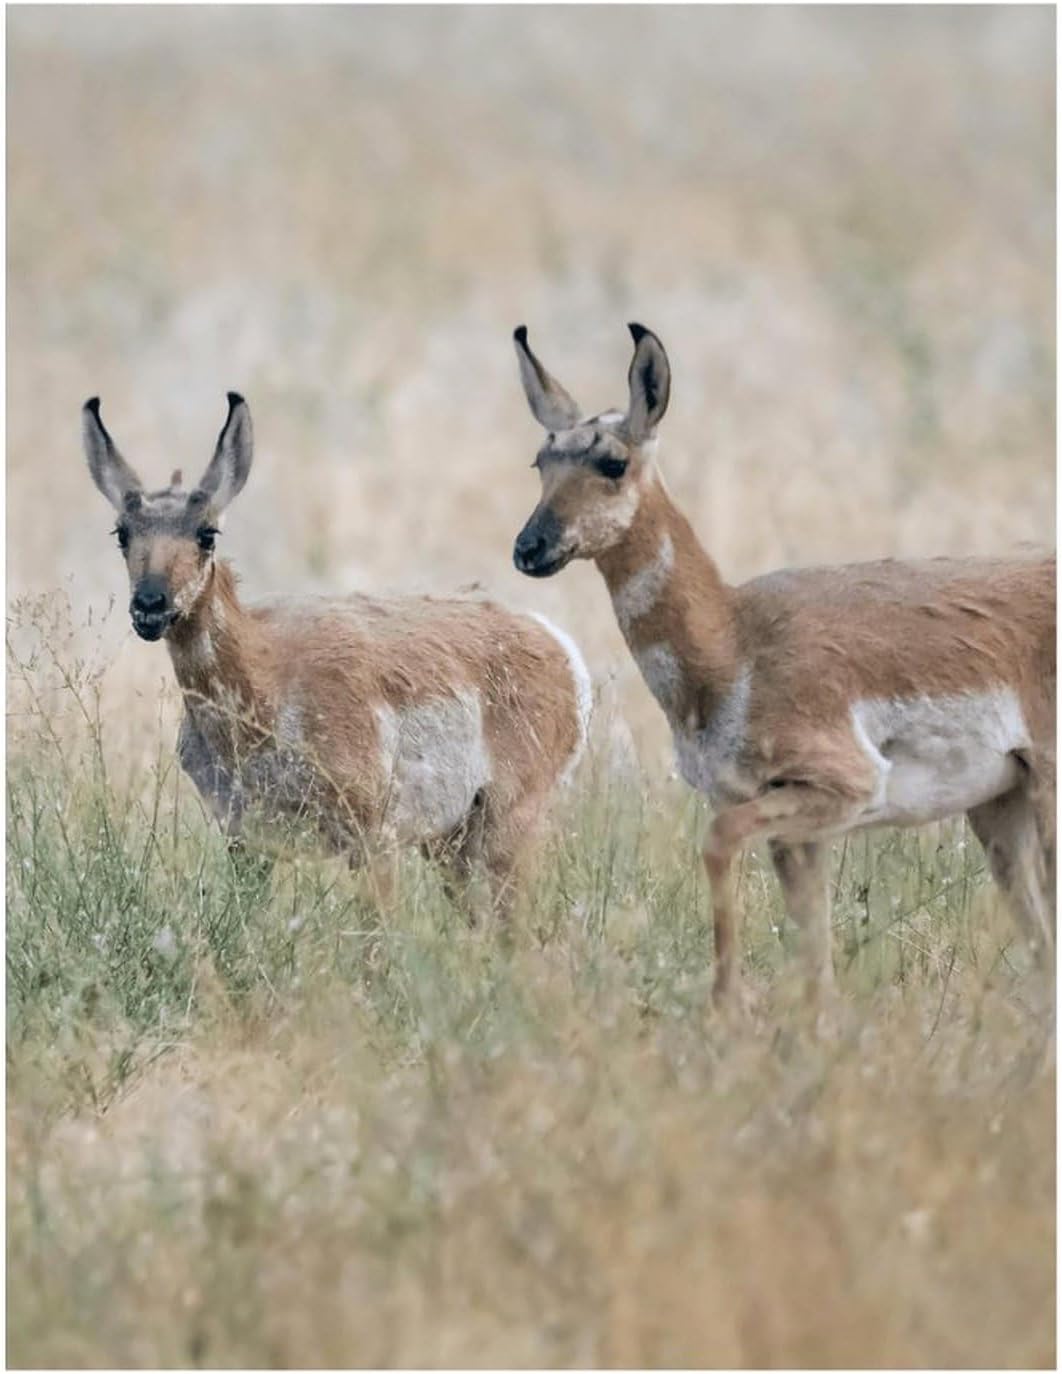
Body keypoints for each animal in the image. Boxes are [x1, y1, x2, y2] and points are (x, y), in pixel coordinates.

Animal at [83, 392, 591, 915]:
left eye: (207, 534)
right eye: (122, 533)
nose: (149, 605)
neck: (268, 679)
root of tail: (551, 639)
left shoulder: (373, 841)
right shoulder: (247, 842)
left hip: (505, 830)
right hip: (451, 846)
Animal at [512, 323, 1055, 1008]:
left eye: (613, 462)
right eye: (541, 461)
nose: (528, 548)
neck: (734, 639)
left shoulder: (837, 789)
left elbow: (718, 844)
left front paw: (726, 1005)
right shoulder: (796, 832)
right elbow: (815, 958)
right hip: (1000, 809)